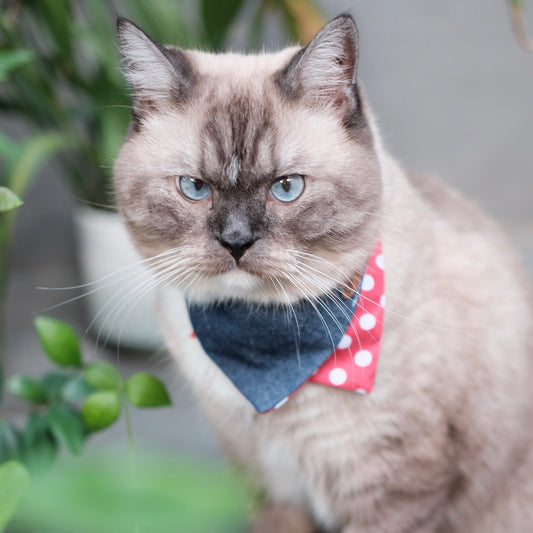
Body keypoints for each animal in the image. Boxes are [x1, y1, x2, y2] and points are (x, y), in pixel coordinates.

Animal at [112, 12, 532, 532]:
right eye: (194, 188)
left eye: (287, 188)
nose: (236, 241)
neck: (261, 344)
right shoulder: (266, 487)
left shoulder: (392, 487)